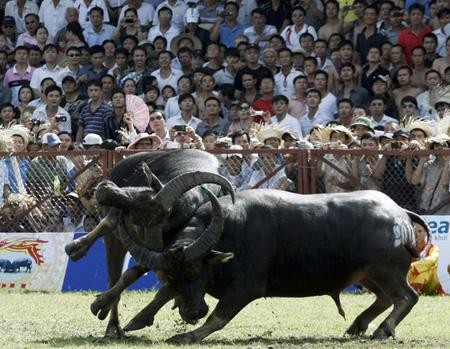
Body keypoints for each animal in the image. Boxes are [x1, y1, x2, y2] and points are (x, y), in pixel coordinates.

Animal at [65, 149, 234, 334]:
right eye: (144, 195)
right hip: (114, 234)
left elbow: (154, 282)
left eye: (140, 218)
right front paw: (101, 304)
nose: (104, 189)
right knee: (112, 264)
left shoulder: (162, 257)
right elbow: (128, 275)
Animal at [110, 185, 428, 342]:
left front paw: (186, 335)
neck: (231, 231)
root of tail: (400, 213)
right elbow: (166, 296)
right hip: (365, 274)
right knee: (386, 298)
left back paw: (382, 330)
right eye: (171, 275)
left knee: (407, 297)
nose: (192, 313)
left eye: (195, 270)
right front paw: (137, 320)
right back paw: (358, 325)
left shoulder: (246, 288)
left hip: (385, 270)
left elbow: (219, 317)